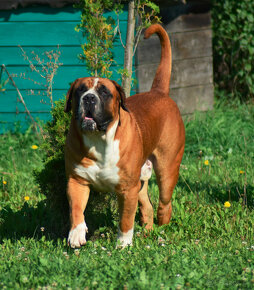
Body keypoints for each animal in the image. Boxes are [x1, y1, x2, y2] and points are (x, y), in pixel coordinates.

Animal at [64, 23, 186, 248]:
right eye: (80, 91)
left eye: (104, 92)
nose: (89, 98)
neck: (99, 140)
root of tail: (158, 92)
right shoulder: (76, 180)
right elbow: (76, 209)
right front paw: (76, 233)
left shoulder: (128, 189)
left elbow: (126, 218)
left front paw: (123, 244)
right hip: (141, 179)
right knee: (147, 205)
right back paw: (148, 232)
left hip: (167, 170)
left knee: (164, 202)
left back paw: (162, 225)